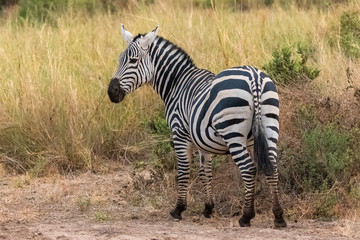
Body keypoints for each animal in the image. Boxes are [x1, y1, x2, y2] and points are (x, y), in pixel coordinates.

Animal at [107, 24, 286, 229]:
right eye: (120, 60)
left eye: (133, 60)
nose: (111, 92)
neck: (176, 83)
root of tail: (254, 77)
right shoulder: (202, 140)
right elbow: (205, 172)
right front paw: (208, 208)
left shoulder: (179, 133)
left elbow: (184, 170)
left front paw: (178, 209)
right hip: (270, 126)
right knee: (273, 167)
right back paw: (279, 216)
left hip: (233, 133)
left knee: (248, 169)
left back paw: (246, 216)